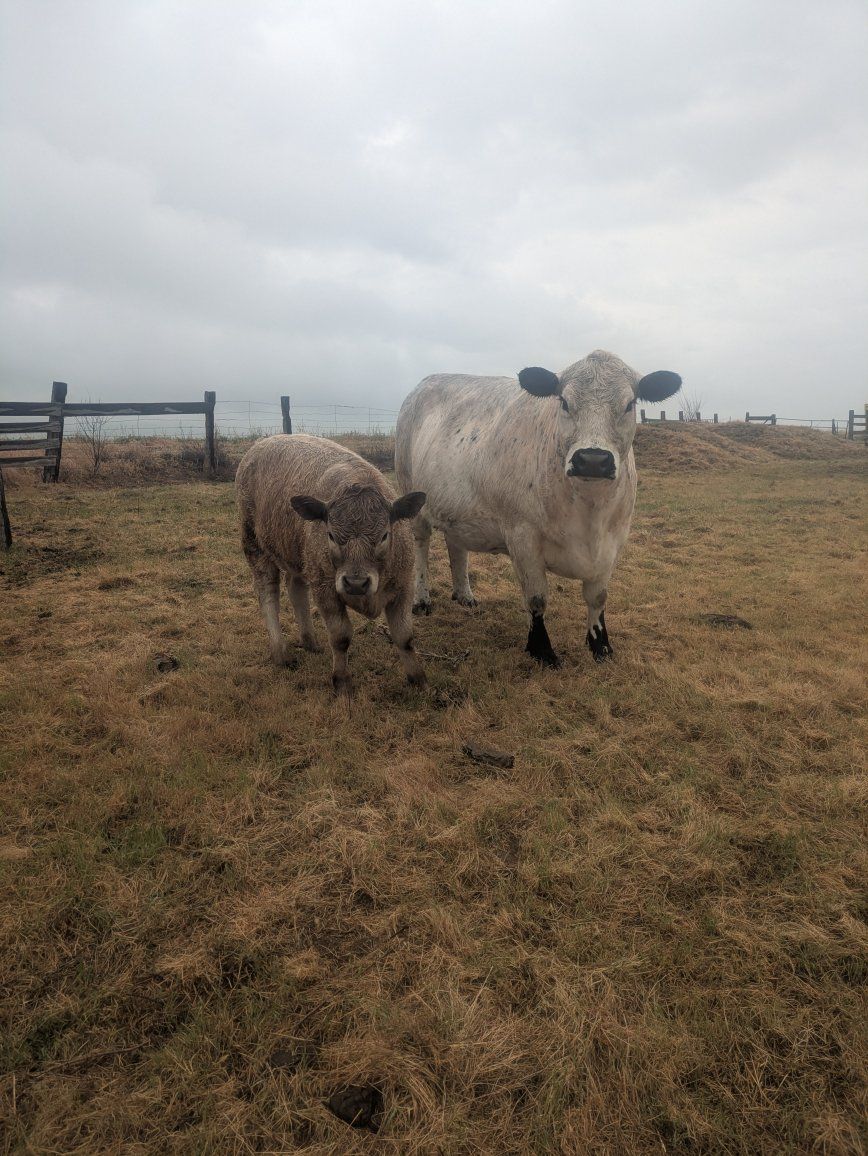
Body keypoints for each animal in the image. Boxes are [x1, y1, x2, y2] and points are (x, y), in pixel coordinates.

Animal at [236, 434, 427, 698]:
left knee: (296, 589)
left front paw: (418, 679)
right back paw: (280, 652)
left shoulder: (403, 587)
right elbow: (340, 637)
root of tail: (261, 444)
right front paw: (342, 682)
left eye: (384, 535)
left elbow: (404, 636)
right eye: (331, 535)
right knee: (268, 593)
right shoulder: (325, 589)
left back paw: (310, 642)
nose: (356, 583)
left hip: (299, 558)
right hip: (255, 545)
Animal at [394, 350, 682, 668]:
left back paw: (464, 595)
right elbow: (536, 598)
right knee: (421, 545)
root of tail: (427, 381)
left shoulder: (613, 542)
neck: (589, 514)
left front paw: (600, 646)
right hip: (412, 495)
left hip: (455, 507)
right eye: (564, 402)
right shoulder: (522, 536)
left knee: (455, 545)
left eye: (630, 404)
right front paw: (542, 650)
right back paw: (422, 599)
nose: (593, 460)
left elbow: (598, 597)